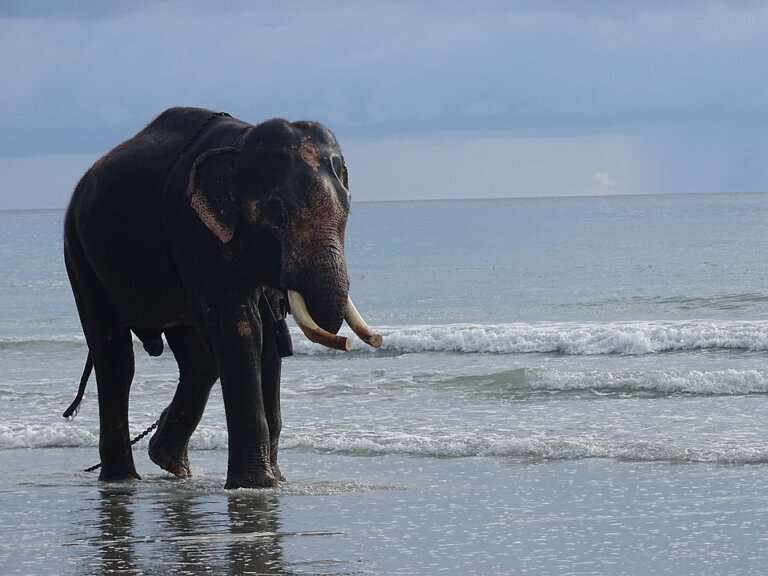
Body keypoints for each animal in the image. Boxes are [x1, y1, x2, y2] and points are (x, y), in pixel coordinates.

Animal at [63, 107, 382, 488]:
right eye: (276, 211)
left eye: (346, 211)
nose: (349, 343)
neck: (241, 143)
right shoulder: (191, 226)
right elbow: (241, 326)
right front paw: (257, 485)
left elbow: (268, 337)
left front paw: (276, 480)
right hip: (78, 250)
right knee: (115, 357)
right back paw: (123, 478)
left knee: (198, 359)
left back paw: (170, 462)